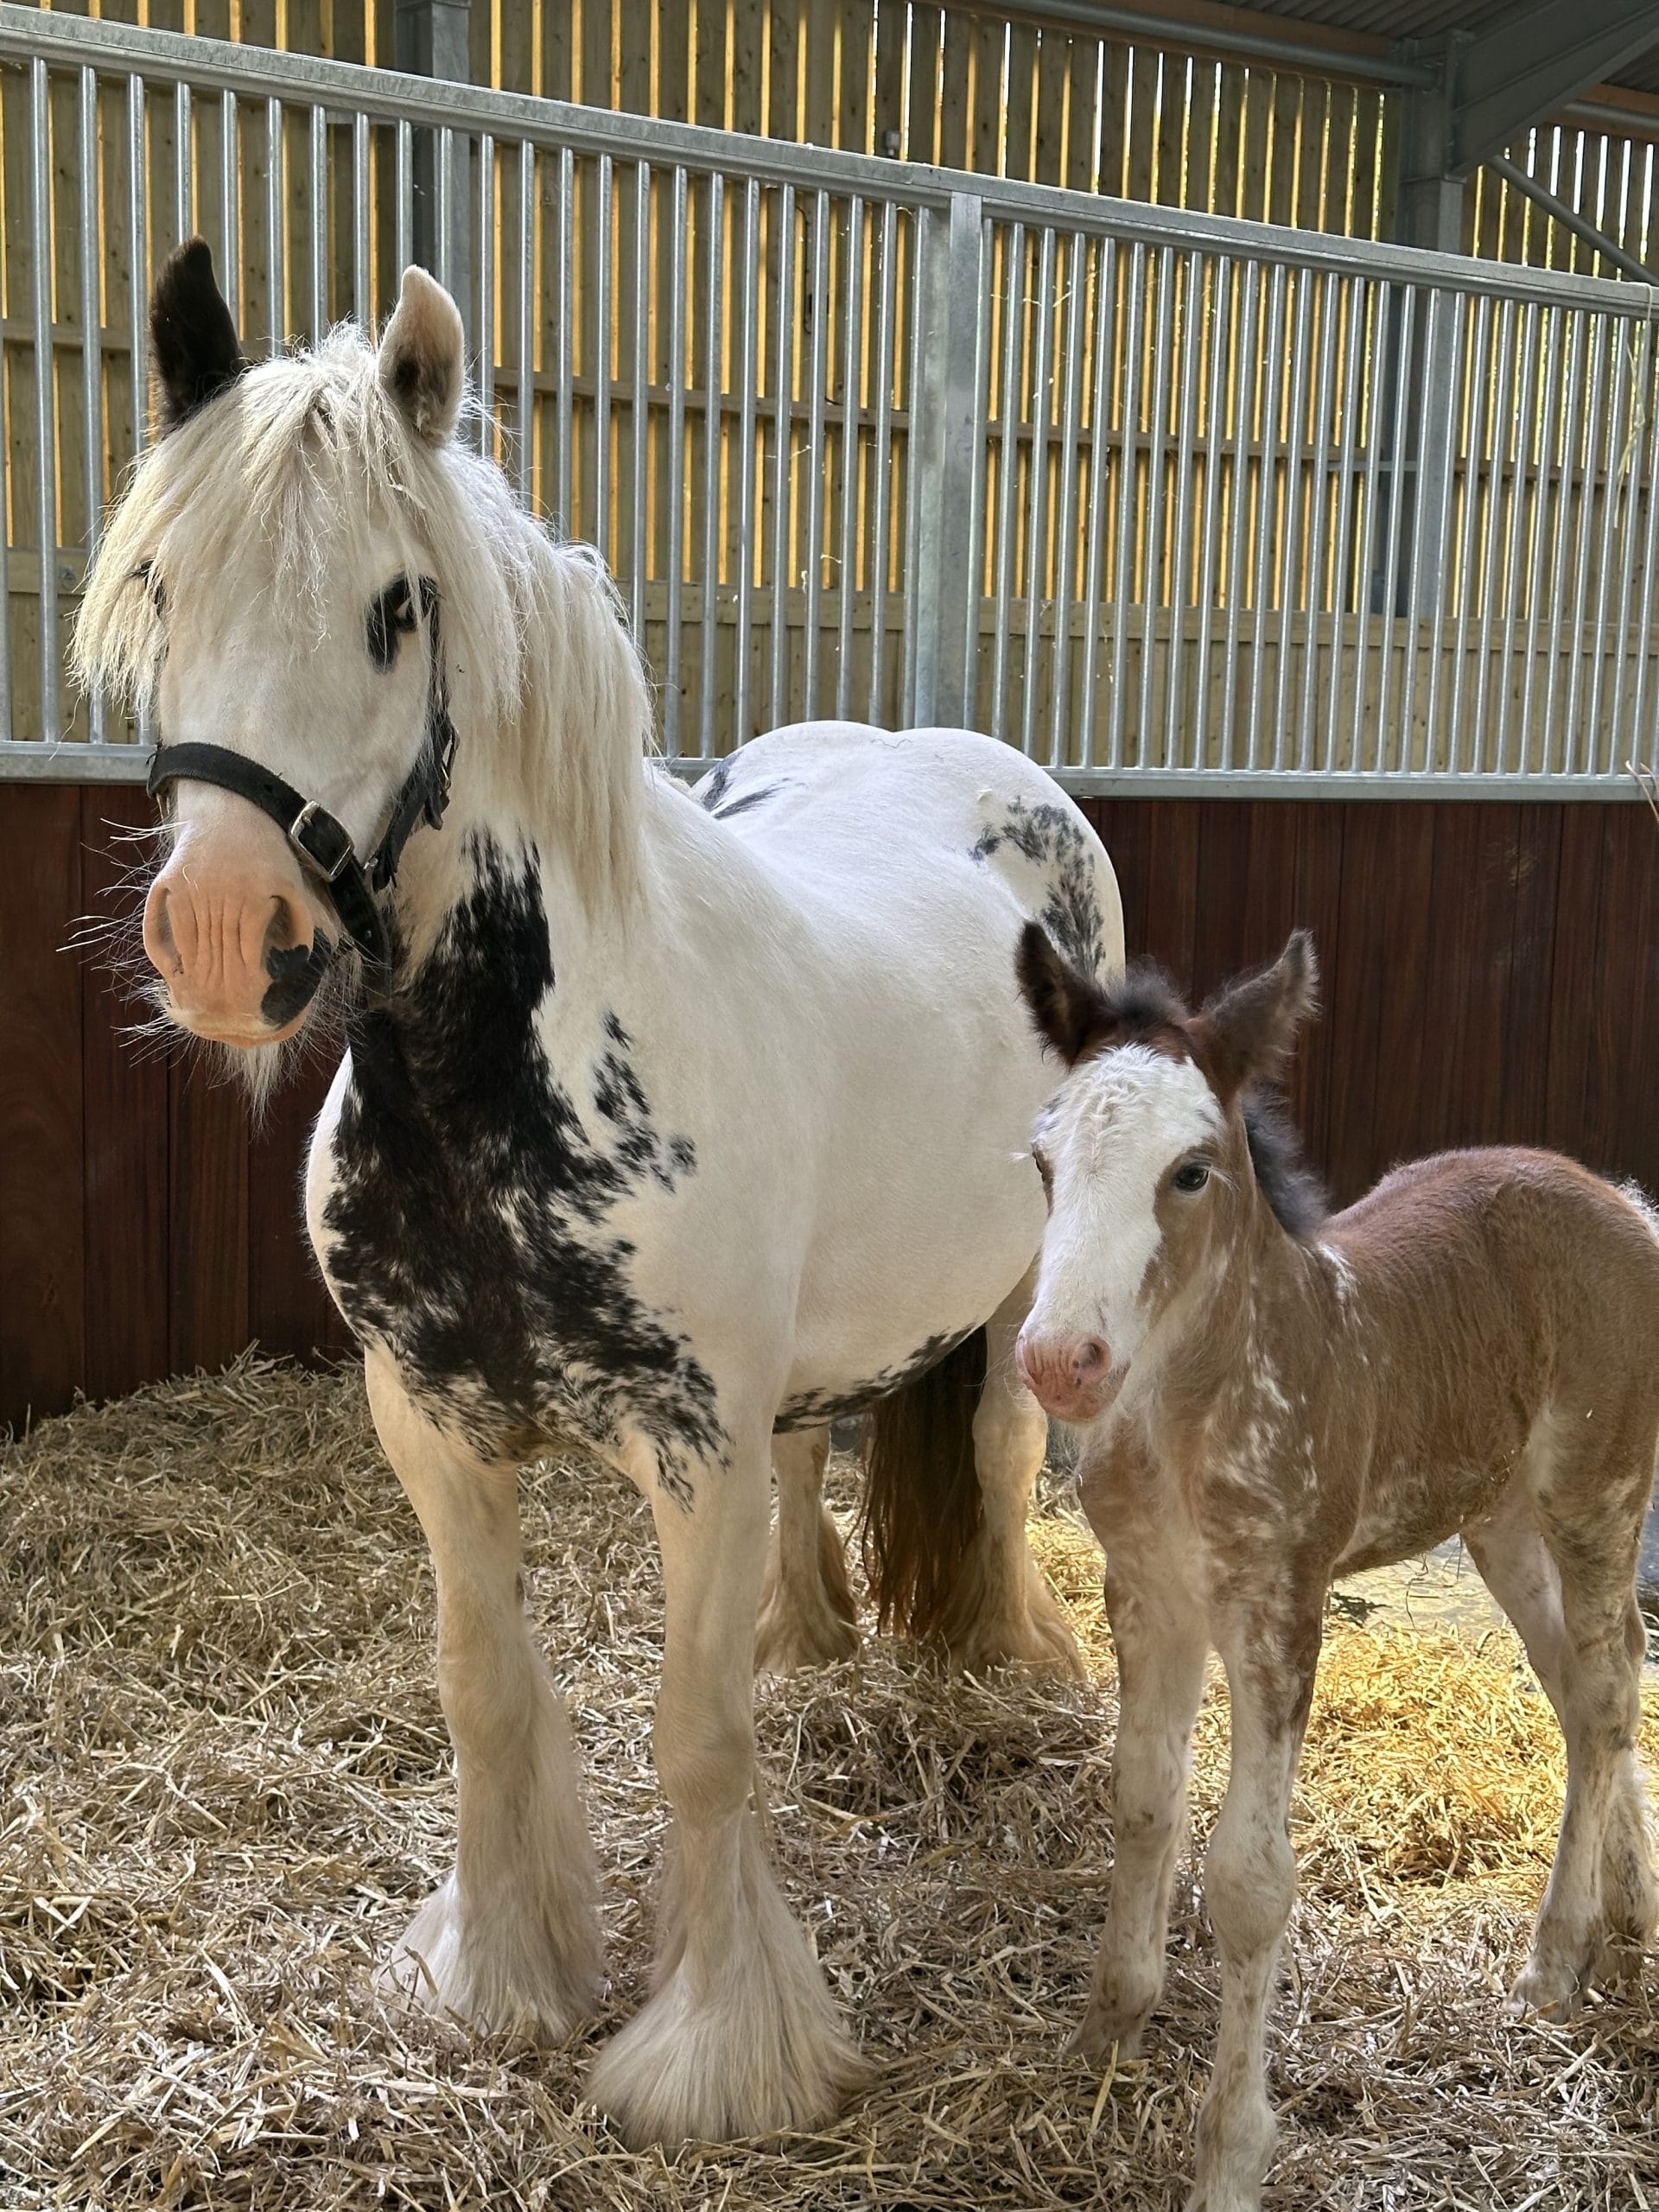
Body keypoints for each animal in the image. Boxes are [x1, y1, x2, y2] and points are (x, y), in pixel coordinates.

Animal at [75, 238, 1124, 2149]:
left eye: (399, 608)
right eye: (165, 586)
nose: (222, 940)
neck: (514, 1082)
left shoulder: (688, 1455)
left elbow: (697, 1742)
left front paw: (718, 2055)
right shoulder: (431, 1428)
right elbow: (489, 1696)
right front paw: (499, 1980)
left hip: (1019, 1299)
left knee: (1005, 1459)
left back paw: (1014, 1660)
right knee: (814, 1461)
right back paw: (804, 1633)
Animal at [1012, 925, 1658, 2212]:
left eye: (1191, 1172)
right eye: (1045, 1160)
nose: (1061, 1362)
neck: (1186, 1409)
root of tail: (1622, 1199)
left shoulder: (1279, 1606)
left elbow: (1250, 1881)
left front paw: (1229, 2155)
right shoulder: (1148, 1594)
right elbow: (1143, 1802)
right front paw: (1107, 2032)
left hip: (1597, 1496)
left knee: (1613, 1693)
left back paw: (1556, 1960)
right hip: (1502, 1519)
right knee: (1584, 1687)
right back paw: (1625, 1918)